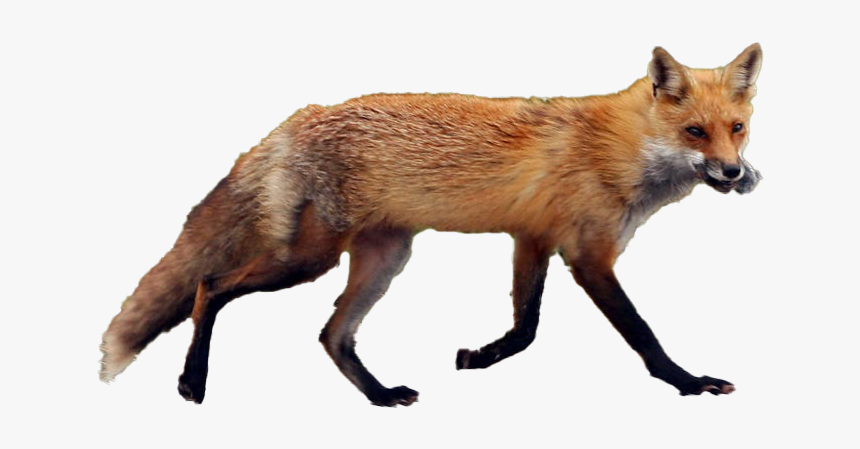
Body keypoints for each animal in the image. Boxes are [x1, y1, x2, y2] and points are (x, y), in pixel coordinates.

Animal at [100, 44, 763, 407]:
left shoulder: (533, 239)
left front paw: (480, 358)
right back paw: (192, 381)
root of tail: (298, 117)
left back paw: (380, 396)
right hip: (305, 259)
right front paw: (688, 382)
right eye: (695, 133)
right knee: (208, 287)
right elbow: (642, 334)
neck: (621, 147)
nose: (735, 172)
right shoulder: (587, 254)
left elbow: (526, 329)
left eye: (738, 128)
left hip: (384, 259)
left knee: (332, 335)